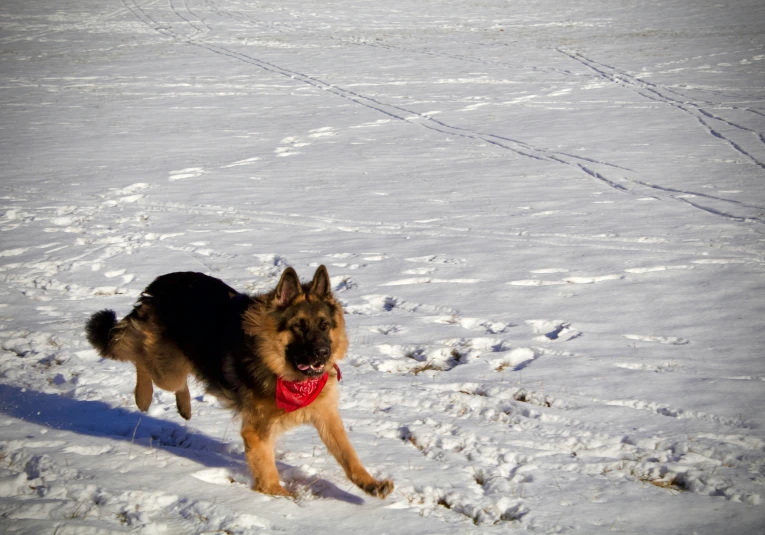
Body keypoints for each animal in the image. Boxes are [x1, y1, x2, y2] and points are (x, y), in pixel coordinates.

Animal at [84, 266, 394, 500]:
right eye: (298, 327)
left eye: (324, 326)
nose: (322, 353)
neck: (283, 371)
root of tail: (159, 283)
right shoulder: (257, 432)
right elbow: (266, 467)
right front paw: (276, 493)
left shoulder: (326, 417)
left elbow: (348, 455)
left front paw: (370, 483)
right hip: (167, 368)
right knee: (137, 355)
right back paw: (143, 396)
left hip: (177, 366)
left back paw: (184, 407)